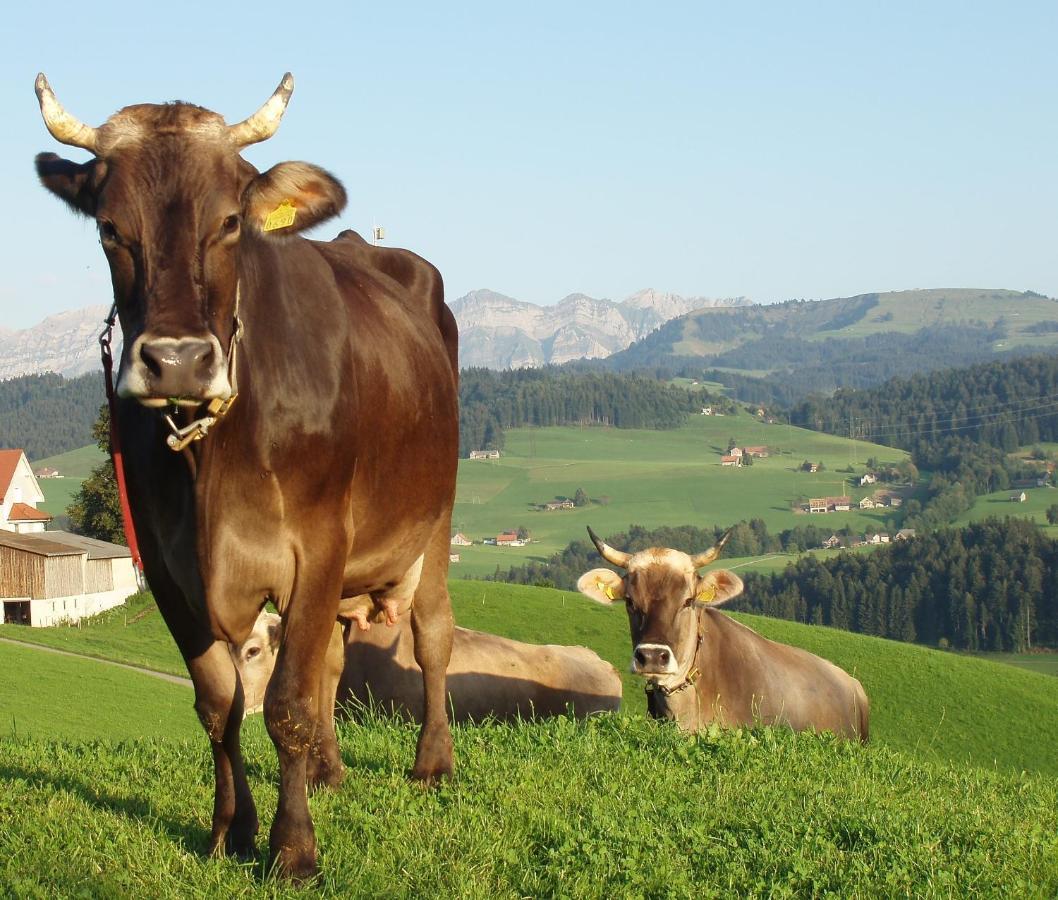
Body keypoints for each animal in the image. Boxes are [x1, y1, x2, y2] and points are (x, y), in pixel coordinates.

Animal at [35, 74, 457, 875]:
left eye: (230, 222)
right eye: (109, 228)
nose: (176, 361)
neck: (213, 461)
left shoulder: (319, 544)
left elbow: (285, 702)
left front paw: (294, 850)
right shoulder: (166, 566)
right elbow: (219, 702)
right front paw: (232, 829)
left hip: (433, 522)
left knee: (432, 638)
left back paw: (433, 765)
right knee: (331, 660)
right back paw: (327, 770)